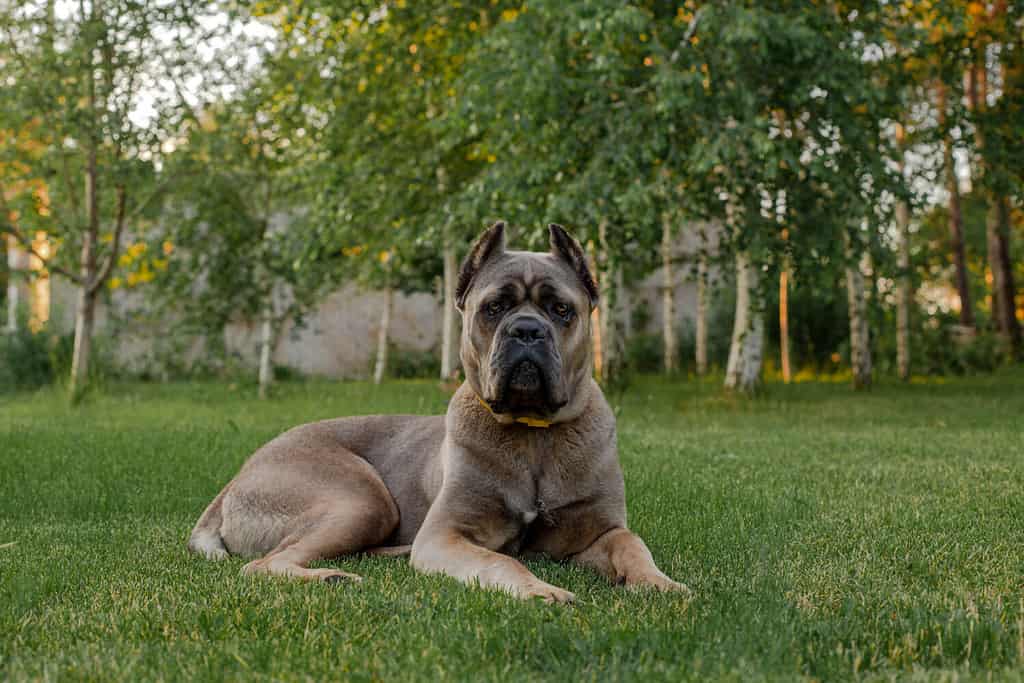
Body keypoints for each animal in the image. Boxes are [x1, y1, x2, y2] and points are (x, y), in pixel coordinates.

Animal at [192, 223, 688, 602]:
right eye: (494, 307)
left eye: (561, 309)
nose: (527, 331)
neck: (535, 434)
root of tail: (238, 476)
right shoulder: (446, 535)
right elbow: (500, 560)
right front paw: (540, 590)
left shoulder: (598, 531)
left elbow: (631, 545)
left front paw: (659, 583)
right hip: (359, 498)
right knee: (262, 564)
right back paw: (332, 576)